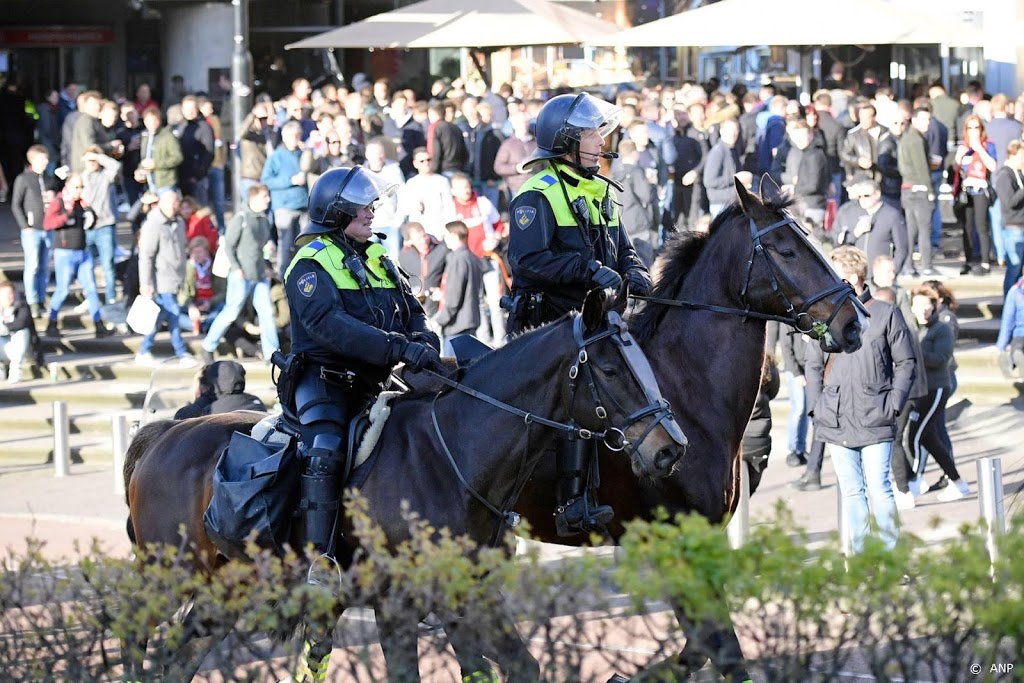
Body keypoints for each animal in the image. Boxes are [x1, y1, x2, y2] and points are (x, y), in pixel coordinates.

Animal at [125, 286, 688, 679]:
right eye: (611, 368)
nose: (670, 447)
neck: (452, 453)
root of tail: (163, 434)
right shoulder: (396, 605)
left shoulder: (469, 595)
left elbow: (519, 666)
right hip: (168, 576)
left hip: (224, 590)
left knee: (178, 658)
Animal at [507, 178, 868, 683]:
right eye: (786, 249)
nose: (853, 322)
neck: (685, 390)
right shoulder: (675, 544)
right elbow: (723, 649)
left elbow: (697, 649)